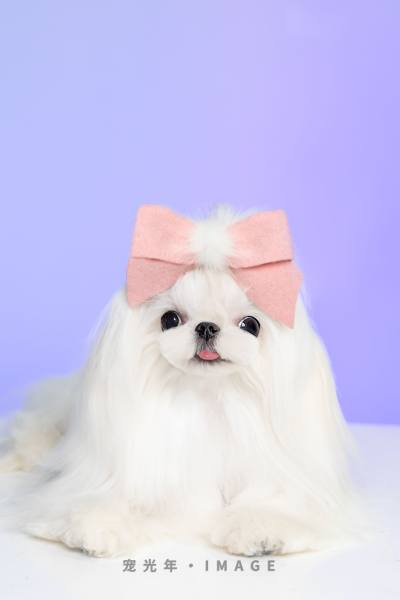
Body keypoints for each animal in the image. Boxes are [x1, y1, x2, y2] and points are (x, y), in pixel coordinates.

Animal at [0, 204, 359, 557]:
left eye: (251, 324)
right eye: (170, 319)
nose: (206, 327)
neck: (209, 396)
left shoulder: (281, 478)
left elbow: (274, 501)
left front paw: (260, 531)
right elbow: (104, 498)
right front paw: (92, 526)